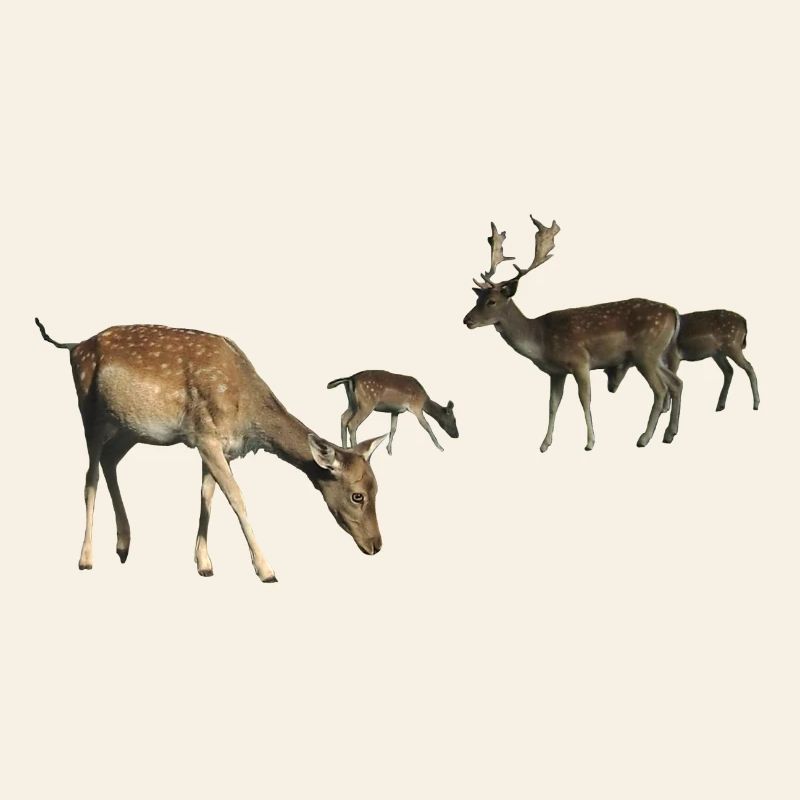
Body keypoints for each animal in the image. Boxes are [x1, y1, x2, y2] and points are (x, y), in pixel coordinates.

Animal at [35, 318, 388, 582]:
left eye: (378, 489)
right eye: (358, 495)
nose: (377, 545)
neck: (246, 413)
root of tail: (74, 346)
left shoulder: (217, 445)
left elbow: (207, 495)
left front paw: (204, 563)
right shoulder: (205, 436)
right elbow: (236, 497)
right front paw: (266, 570)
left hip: (129, 427)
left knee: (110, 461)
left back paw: (123, 545)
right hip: (90, 411)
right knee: (89, 477)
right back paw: (86, 558)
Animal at [327, 370, 458, 455]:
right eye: (454, 419)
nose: (457, 435)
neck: (424, 401)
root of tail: (350, 378)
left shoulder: (395, 411)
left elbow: (393, 429)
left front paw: (389, 450)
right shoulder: (416, 407)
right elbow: (427, 426)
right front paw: (441, 448)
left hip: (352, 404)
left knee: (343, 417)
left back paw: (344, 451)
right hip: (366, 404)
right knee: (352, 423)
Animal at [463, 217, 683, 451]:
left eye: (491, 301)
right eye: (477, 299)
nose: (466, 320)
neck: (541, 340)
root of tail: (673, 312)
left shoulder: (580, 361)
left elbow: (585, 399)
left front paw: (590, 442)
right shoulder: (556, 372)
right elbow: (553, 404)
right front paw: (544, 444)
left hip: (645, 353)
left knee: (660, 389)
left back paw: (644, 438)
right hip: (655, 355)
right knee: (676, 383)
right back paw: (669, 434)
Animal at [605, 309, 760, 412]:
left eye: (615, 367)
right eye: (605, 371)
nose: (610, 388)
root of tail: (744, 322)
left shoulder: (674, 355)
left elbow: (673, 378)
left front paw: (665, 409)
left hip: (732, 345)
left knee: (749, 367)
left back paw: (756, 404)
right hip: (717, 353)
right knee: (729, 370)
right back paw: (720, 405)